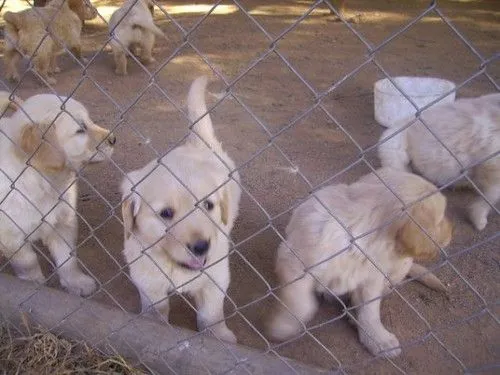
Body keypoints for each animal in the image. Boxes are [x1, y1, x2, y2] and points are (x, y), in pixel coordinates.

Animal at [0, 92, 115, 296]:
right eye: (80, 129)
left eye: (90, 121)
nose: (114, 139)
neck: (44, 181)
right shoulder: (10, 235)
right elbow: (27, 261)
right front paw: (33, 282)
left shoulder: (64, 220)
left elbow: (67, 259)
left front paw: (76, 282)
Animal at [119, 75, 240, 344]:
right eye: (166, 213)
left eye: (208, 205)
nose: (201, 246)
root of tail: (196, 145)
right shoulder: (147, 279)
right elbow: (156, 311)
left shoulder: (216, 276)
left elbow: (212, 313)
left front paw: (220, 336)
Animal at [270, 170, 454, 358]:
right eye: (440, 220)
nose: (452, 231)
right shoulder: (295, 260)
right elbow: (300, 301)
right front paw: (284, 326)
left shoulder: (372, 278)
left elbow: (370, 309)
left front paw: (377, 338)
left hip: (400, 268)